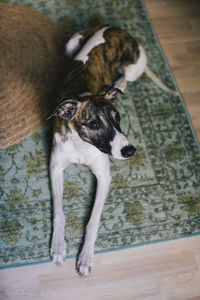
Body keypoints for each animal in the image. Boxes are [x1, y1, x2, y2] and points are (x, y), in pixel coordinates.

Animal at [48, 25, 178, 276]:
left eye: (117, 117)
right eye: (93, 124)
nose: (130, 151)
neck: (82, 144)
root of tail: (116, 28)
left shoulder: (104, 177)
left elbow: (93, 221)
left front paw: (86, 257)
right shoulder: (55, 168)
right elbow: (59, 211)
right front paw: (58, 246)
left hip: (132, 68)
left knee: (125, 78)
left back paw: (120, 83)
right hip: (71, 44)